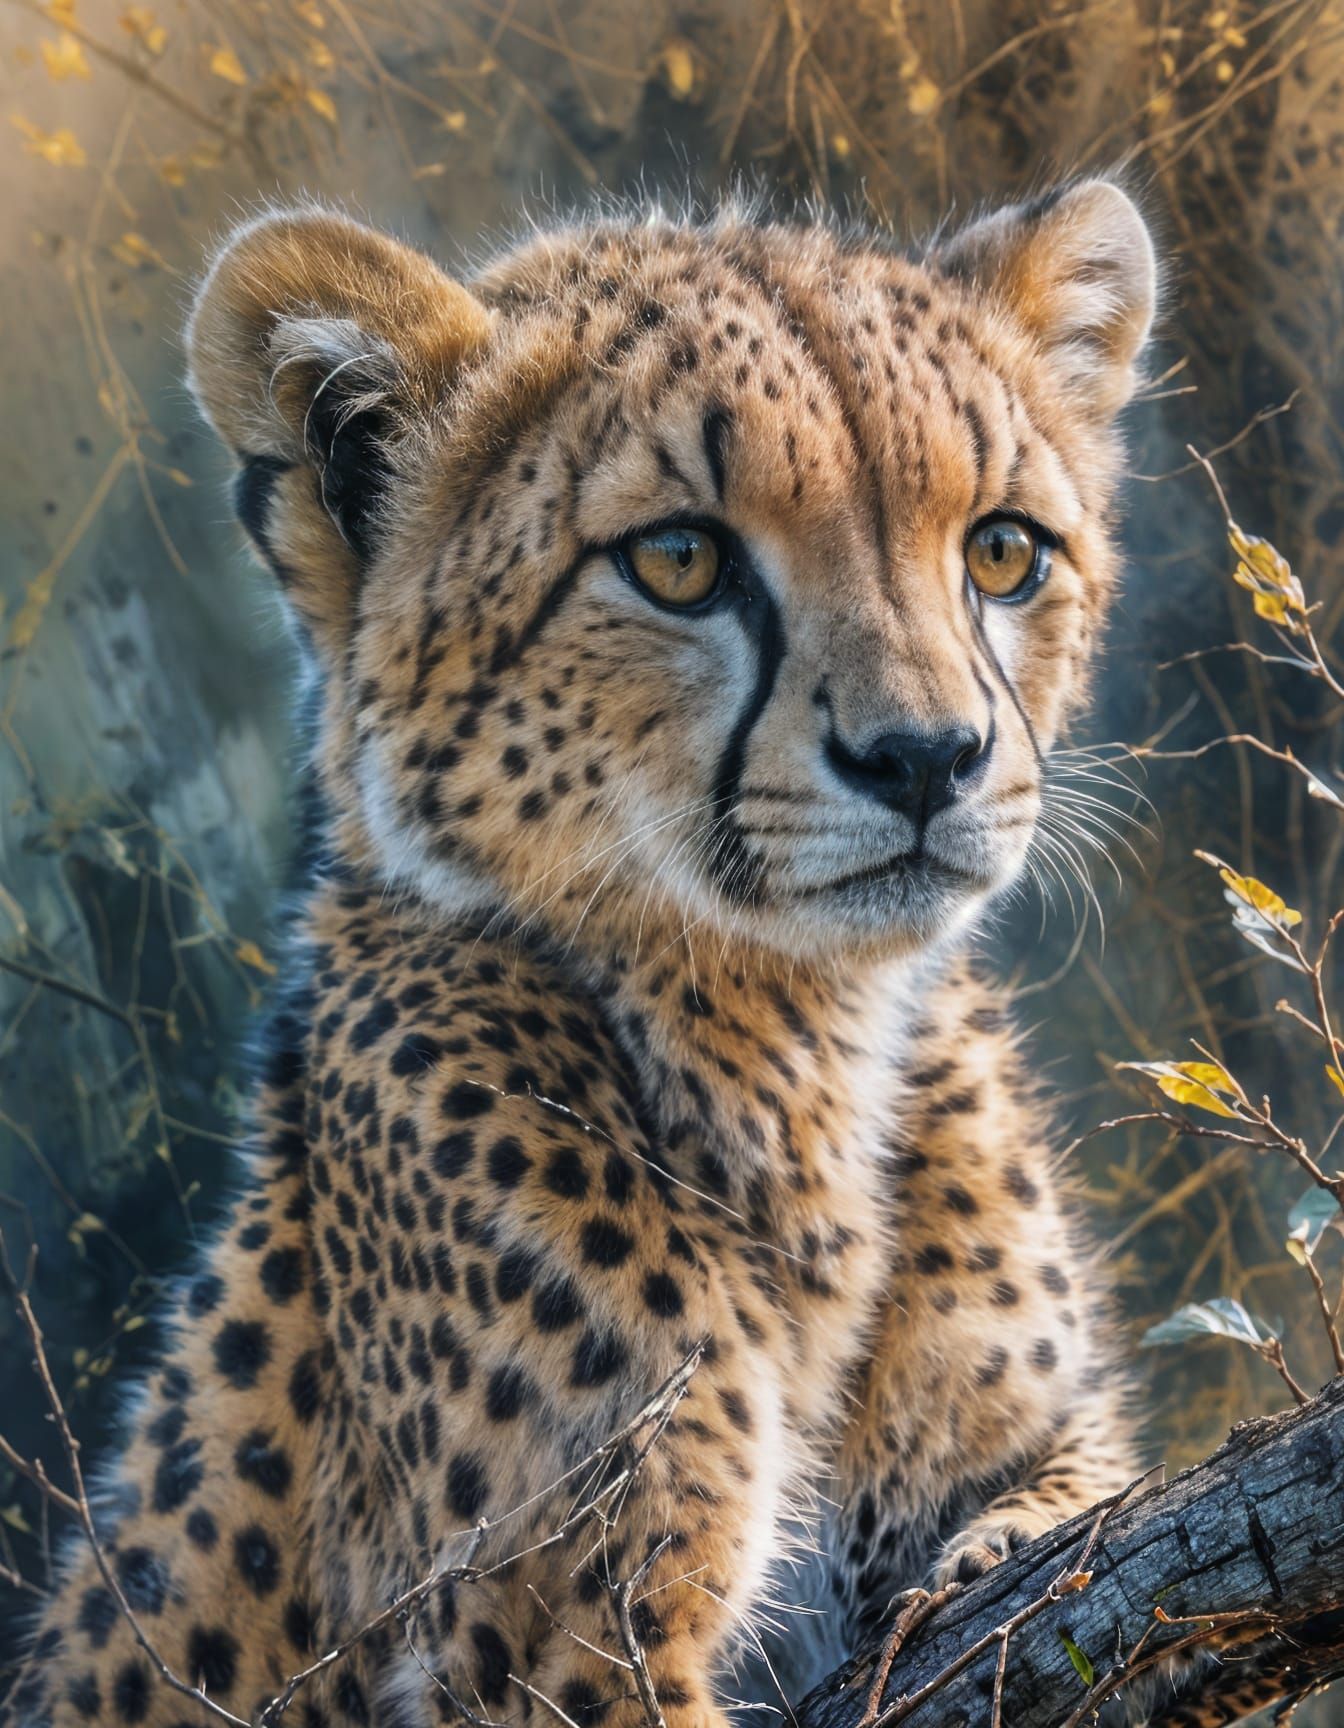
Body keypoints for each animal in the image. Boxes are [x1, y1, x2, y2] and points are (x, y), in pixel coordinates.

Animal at [7, 180, 1193, 1728]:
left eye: (1003, 551)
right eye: (678, 560)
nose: (928, 758)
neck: (796, 1041)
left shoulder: (1041, 1454)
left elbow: (1049, 1516)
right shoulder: (562, 1648)